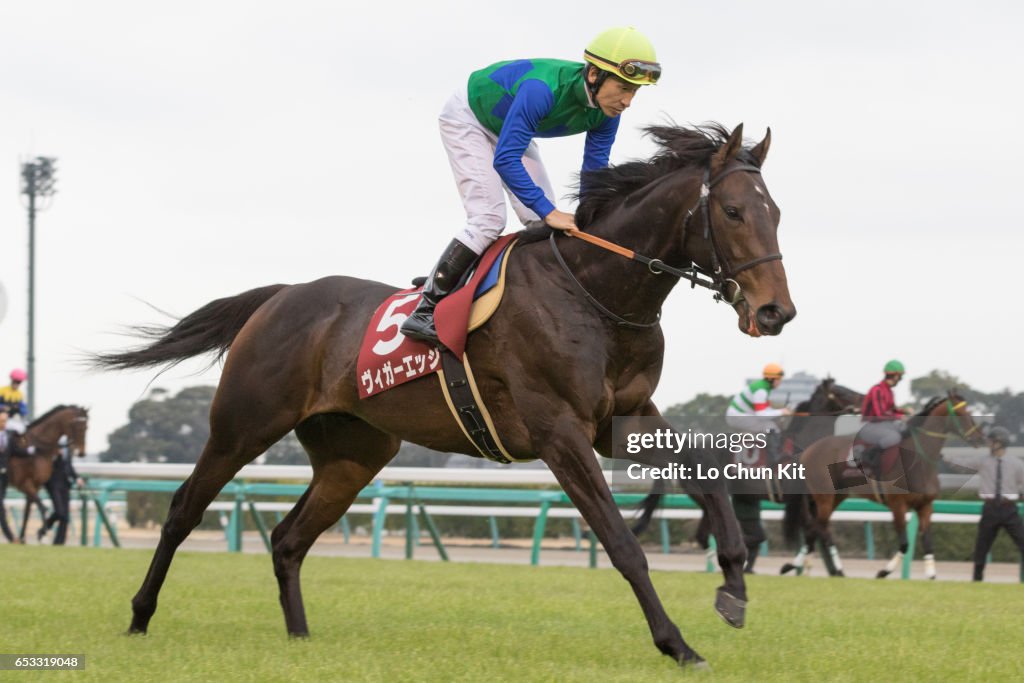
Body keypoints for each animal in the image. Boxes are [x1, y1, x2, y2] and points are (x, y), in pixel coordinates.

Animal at [4, 405, 89, 544]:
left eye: (87, 427)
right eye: (77, 426)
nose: (81, 453)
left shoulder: (35, 485)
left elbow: (29, 510)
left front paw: (24, 537)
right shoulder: (23, 483)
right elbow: (42, 507)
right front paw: (43, 533)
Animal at [96, 122, 794, 667]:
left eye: (777, 212)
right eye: (733, 212)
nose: (776, 311)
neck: (596, 292)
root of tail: (281, 295)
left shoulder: (620, 417)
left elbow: (705, 471)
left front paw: (734, 584)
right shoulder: (559, 431)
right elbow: (621, 542)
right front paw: (677, 644)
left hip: (353, 454)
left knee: (289, 539)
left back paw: (299, 638)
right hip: (243, 425)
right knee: (184, 509)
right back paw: (138, 616)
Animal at [782, 393, 983, 581]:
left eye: (969, 411)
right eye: (960, 412)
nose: (977, 437)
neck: (918, 462)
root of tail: (807, 451)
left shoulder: (925, 506)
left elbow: (927, 542)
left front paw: (931, 574)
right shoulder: (898, 506)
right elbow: (904, 544)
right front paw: (884, 571)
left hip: (835, 497)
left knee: (814, 528)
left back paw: (798, 565)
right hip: (824, 496)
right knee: (820, 527)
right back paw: (833, 569)